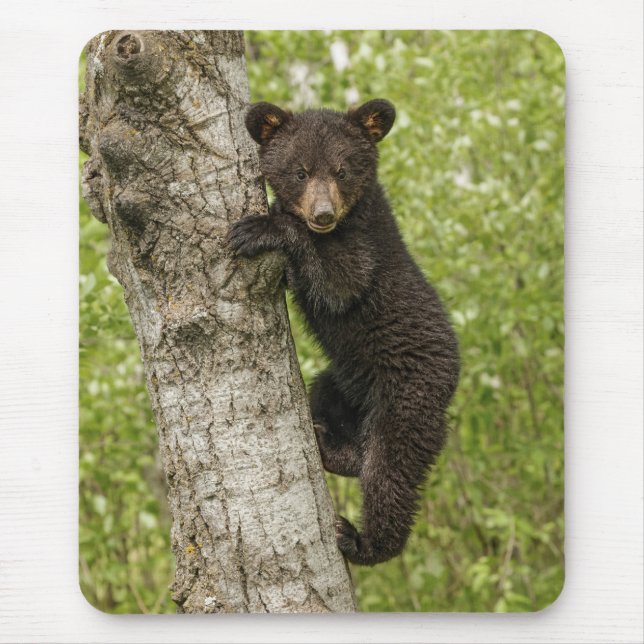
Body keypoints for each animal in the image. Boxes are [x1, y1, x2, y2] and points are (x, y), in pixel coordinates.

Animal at [227, 99, 460, 566]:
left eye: (342, 170)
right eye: (300, 171)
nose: (322, 214)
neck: (350, 218)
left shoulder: (366, 250)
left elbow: (339, 281)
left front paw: (260, 227)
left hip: (407, 400)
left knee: (390, 472)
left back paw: (362, 541)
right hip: (343, 381)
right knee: (331, 407)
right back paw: (330, 445)